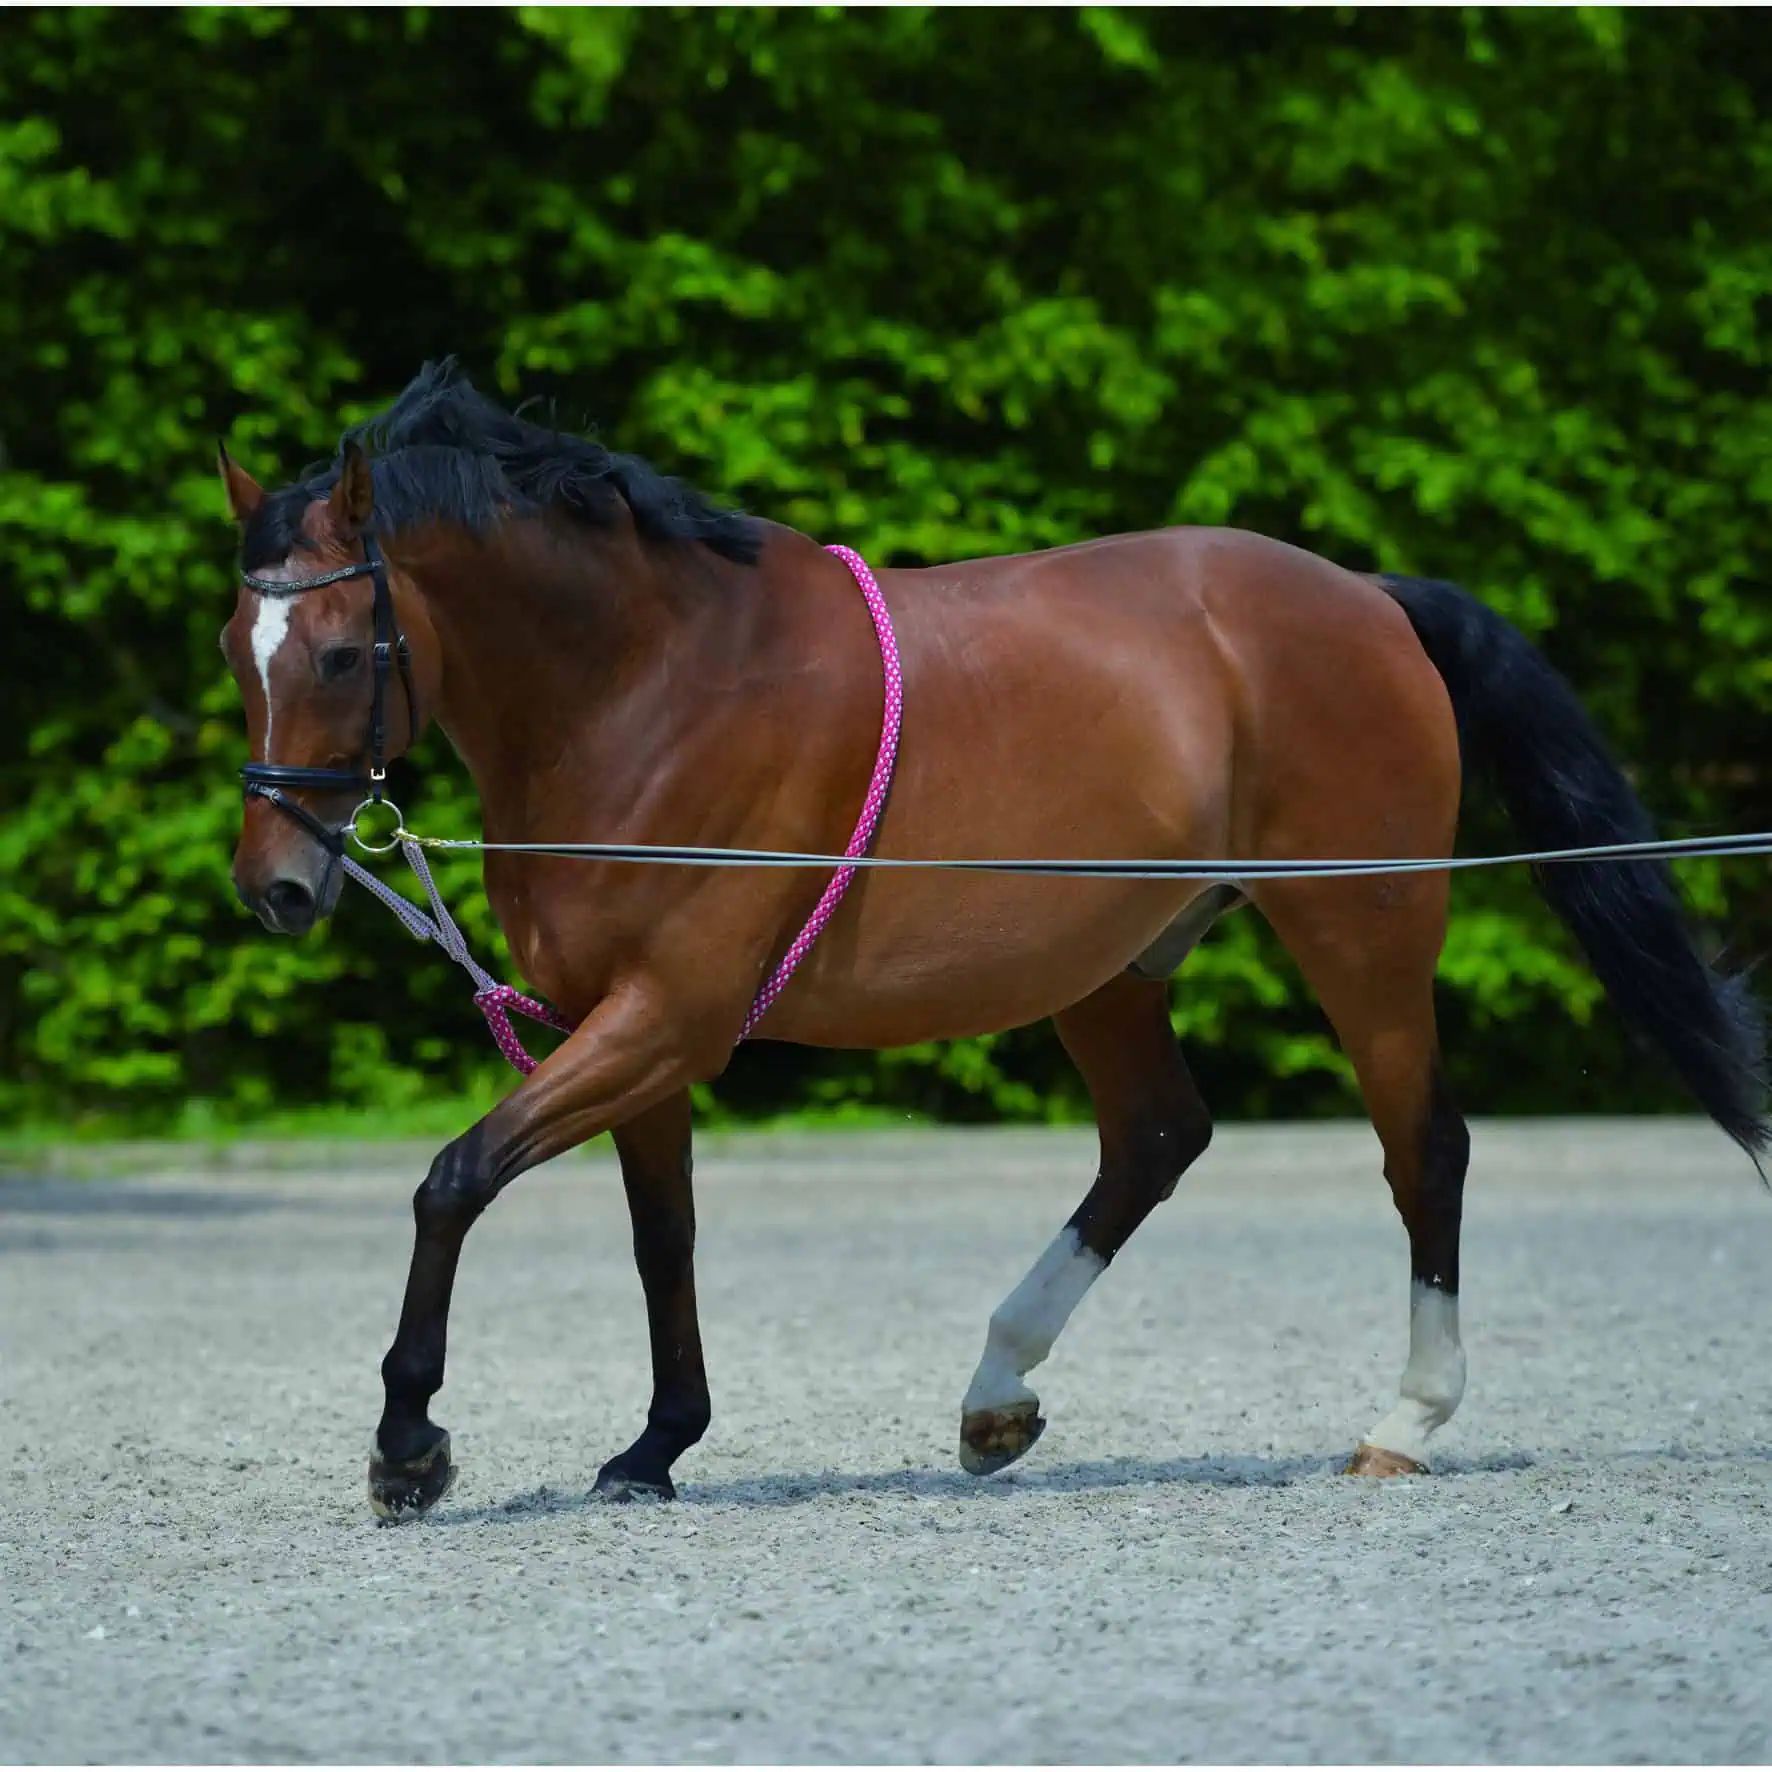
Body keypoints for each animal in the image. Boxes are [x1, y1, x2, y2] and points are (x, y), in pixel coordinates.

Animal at [218, 361, 1767, 1519]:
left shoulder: (666, 1017)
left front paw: (409, 1448)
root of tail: (1367, 596)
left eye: (345, 651)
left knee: (1421, 1147)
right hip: (1108, 966)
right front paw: (655, 1448)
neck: (651, 686)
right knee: (1156, 1138)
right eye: (239, 645)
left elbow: (453, 1181)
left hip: (1361, 931)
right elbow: (665, 1239)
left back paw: (1404, 1420)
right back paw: (994, 1397)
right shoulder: (630, 1029)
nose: (276, 887)